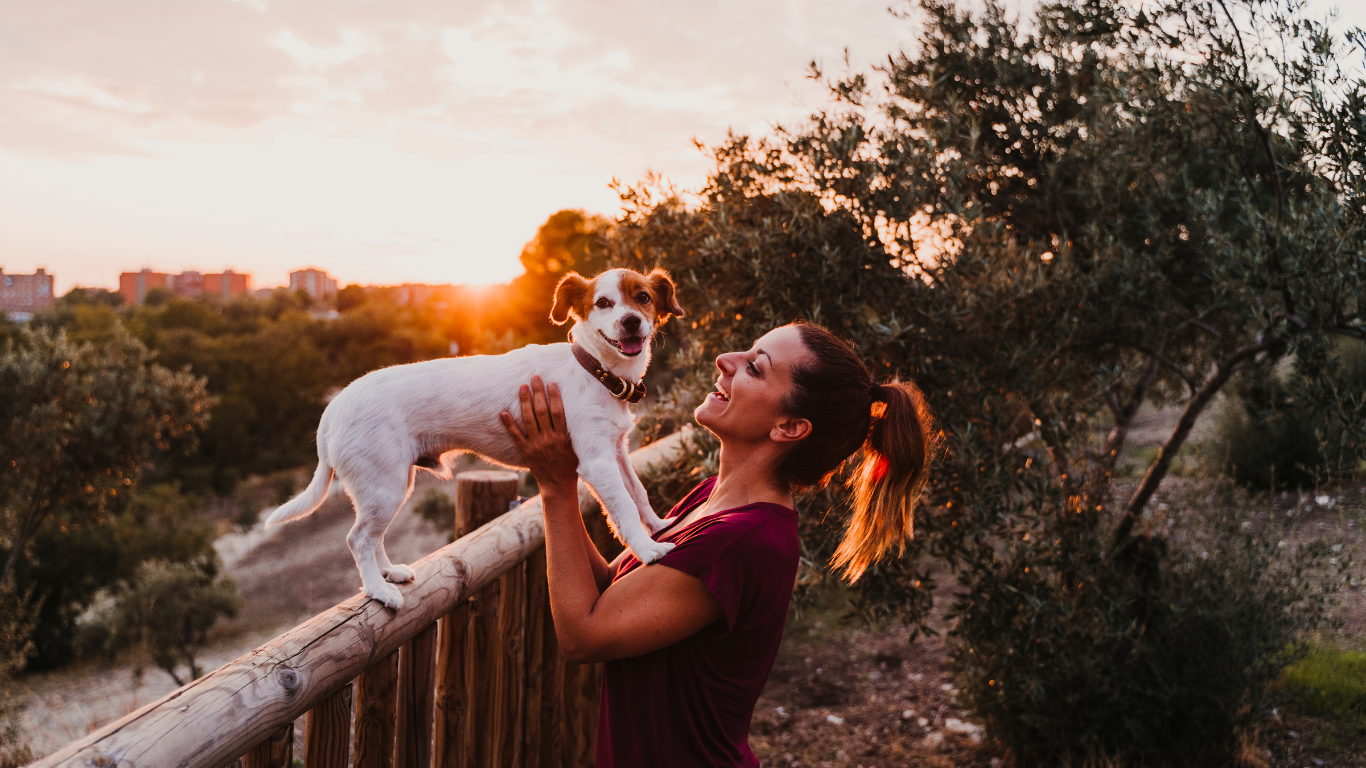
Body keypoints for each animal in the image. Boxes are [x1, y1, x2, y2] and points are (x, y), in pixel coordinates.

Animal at [266, 266, 688, 606]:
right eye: (603, 303)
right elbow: (625, 510)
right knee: (358, 539)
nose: (631, 321)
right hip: (384, 487)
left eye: (643, 298)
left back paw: (389, 574)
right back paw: (378, 591)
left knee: (372, 537)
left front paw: (660, 524)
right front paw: (648, 550)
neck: (595, 370)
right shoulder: (598, 462)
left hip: (388, 487)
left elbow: (638, 493)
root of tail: (335, 406)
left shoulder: (617, 451)